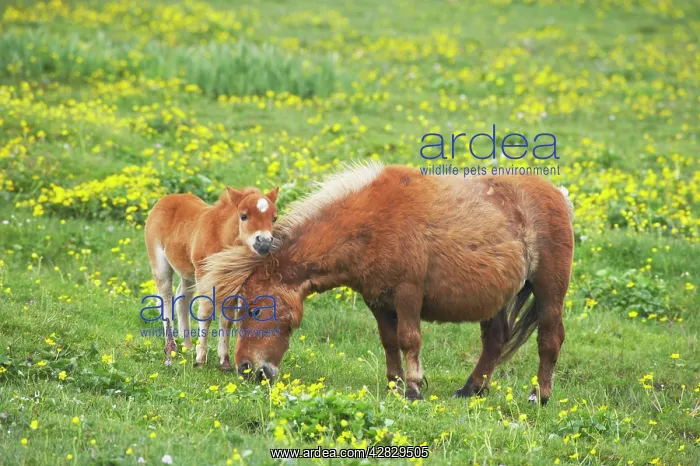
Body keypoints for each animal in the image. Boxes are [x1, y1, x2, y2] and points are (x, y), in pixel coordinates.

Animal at [144, 186, 279, 366]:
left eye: (274, 218)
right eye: (243, 216)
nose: (264, 243)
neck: (221, 235)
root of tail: (166, 198)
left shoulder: (233, 283)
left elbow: (227, 319)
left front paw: (225, 362)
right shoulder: (204, 276)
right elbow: (205, 314)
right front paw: (200, 359)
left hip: (188, 272)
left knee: (183, 297)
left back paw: (187, 347)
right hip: (161, 263)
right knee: (165, 298)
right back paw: (171, 348)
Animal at [200, 162, 574, 404]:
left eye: (256, 308)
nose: (247, 369)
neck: (372, 223)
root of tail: (558, 195)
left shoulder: (408, 295)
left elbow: (409, 339)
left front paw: (413, 388)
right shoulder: (377, 300)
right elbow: (389, 341)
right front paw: (394, 384)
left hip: (549, 292)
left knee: (550, 340)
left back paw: (540, 396)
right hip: (494, 300)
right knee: (495, 341)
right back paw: (471, 390)